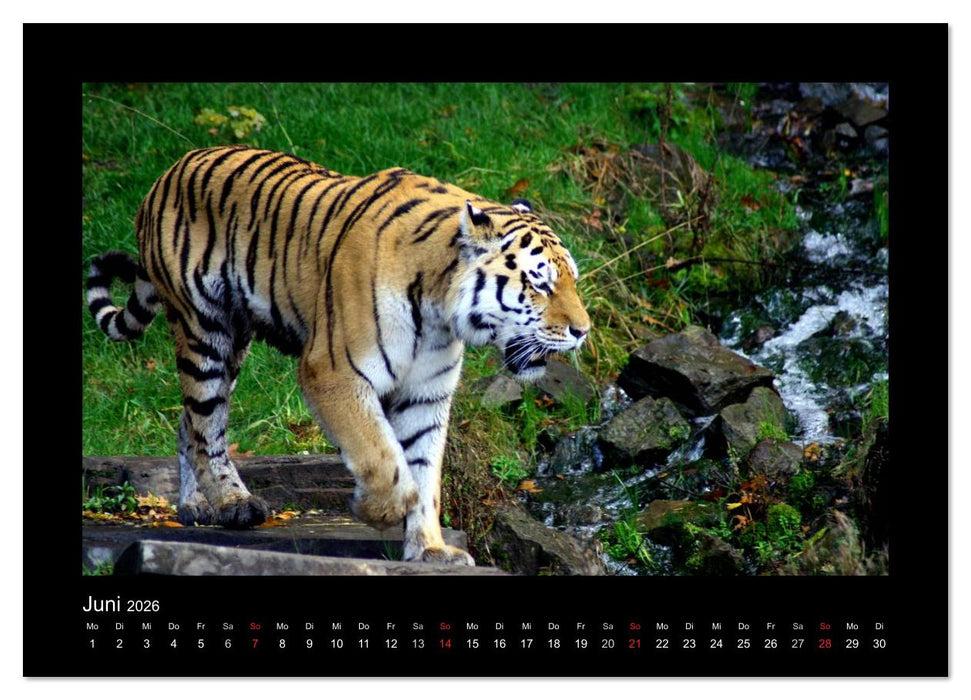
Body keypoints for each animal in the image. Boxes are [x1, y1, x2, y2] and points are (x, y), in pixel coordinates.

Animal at [86, 145, 590, 566]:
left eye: (572, 280)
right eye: (540, 283)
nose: (582, 331)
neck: (439, 310)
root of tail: (168, 171)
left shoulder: (426, 394)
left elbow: (425, 473)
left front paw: (430, 549)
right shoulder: (333, 372)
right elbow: (382, 457)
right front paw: (377, 509)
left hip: (233, 342)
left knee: (188, 420)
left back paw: (194, 505)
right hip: (204, 328)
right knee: (206, 423)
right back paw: (232, 503)